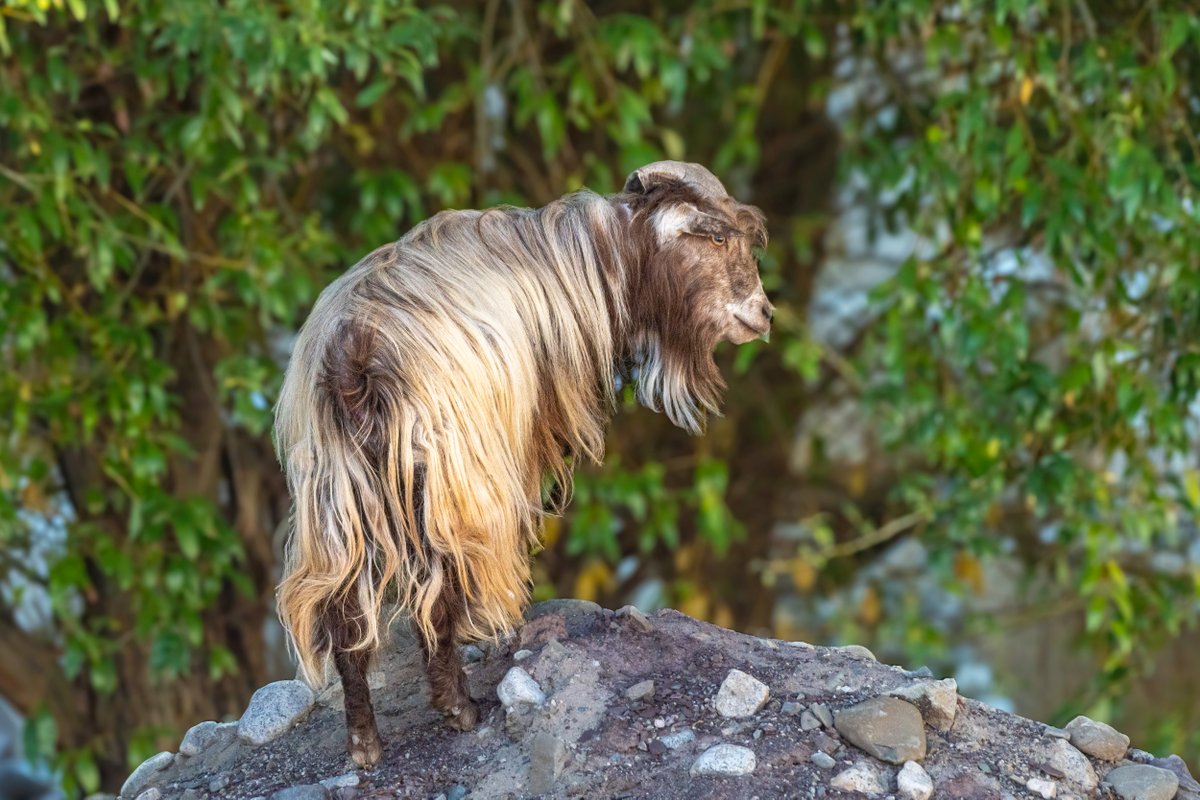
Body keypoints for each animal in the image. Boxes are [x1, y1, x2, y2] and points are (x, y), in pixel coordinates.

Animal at [274, 161, 771, 767]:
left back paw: (364, 742)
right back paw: (459, 707)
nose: (763, 313)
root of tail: (353, 356)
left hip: (337, 496)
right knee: (439, 592)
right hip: (450, 479)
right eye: (717, 237)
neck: (587, 263)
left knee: (346, 615)